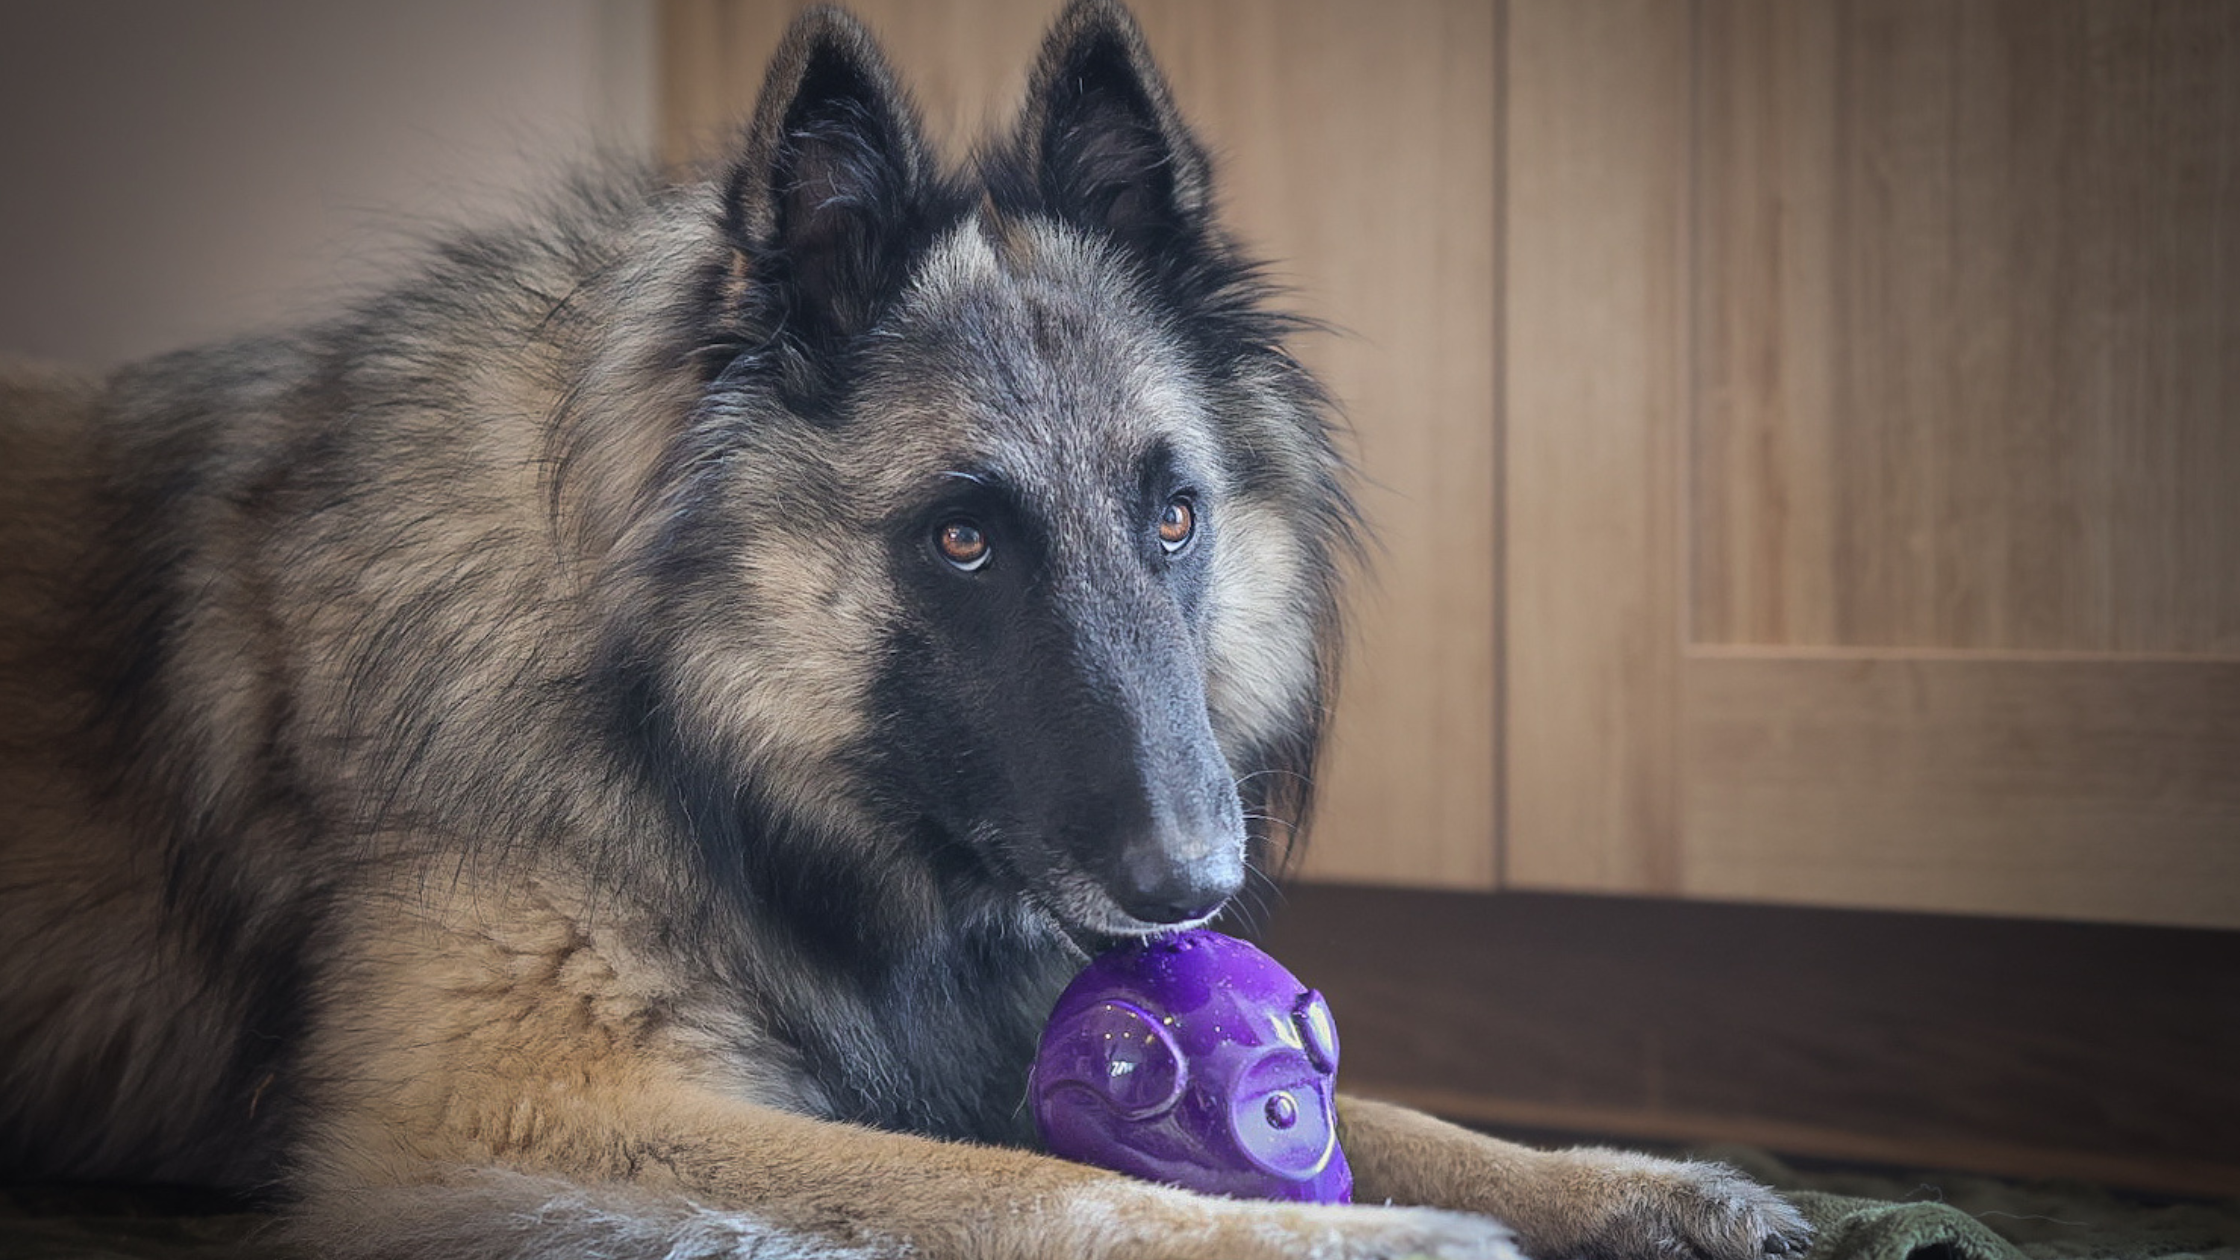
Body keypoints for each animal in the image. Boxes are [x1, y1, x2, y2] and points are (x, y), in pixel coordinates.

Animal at [0, 4, 1809, 1246]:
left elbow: (1392, 1100)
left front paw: (1635, 1183)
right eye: (961, 540)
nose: (1194, 887)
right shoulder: (507, 1115)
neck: (675, 709)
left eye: (1174, 515)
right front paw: (1375, 1237)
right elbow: (1023, 1184)